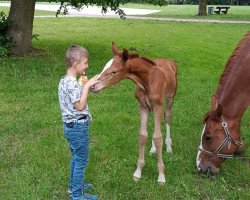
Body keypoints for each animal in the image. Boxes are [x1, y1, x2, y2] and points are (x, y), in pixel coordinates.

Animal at [92, 43, 178, 184]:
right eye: (105, 66)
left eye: (114, 71)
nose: (93, 87)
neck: (146, 80)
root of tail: (169, 61)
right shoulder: (143, 106)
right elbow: (143, 135)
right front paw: (138, 172)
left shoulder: (158, 105)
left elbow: (158, 137)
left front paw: (161, 176)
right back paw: (153, 149)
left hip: (170, 99)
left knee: (167, 117)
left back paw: (169, 147)